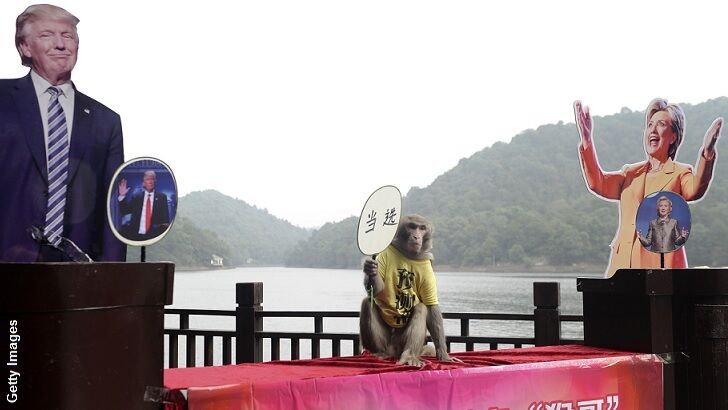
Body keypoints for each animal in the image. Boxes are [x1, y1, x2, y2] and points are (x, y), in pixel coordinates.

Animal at [359, 214, 452, 366]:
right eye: (412, 226)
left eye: (422, 228)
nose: (416, 236)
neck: (410, 254)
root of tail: (393, 352)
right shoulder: (385, 253)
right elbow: (377, 290)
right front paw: (370, 268)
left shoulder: (427, 266)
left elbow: (431, 305)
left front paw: (443, 354)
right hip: (386, 343)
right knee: (368, 302)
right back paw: (380, 353)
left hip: (400, 343)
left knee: (421, 308)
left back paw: (409, 355)